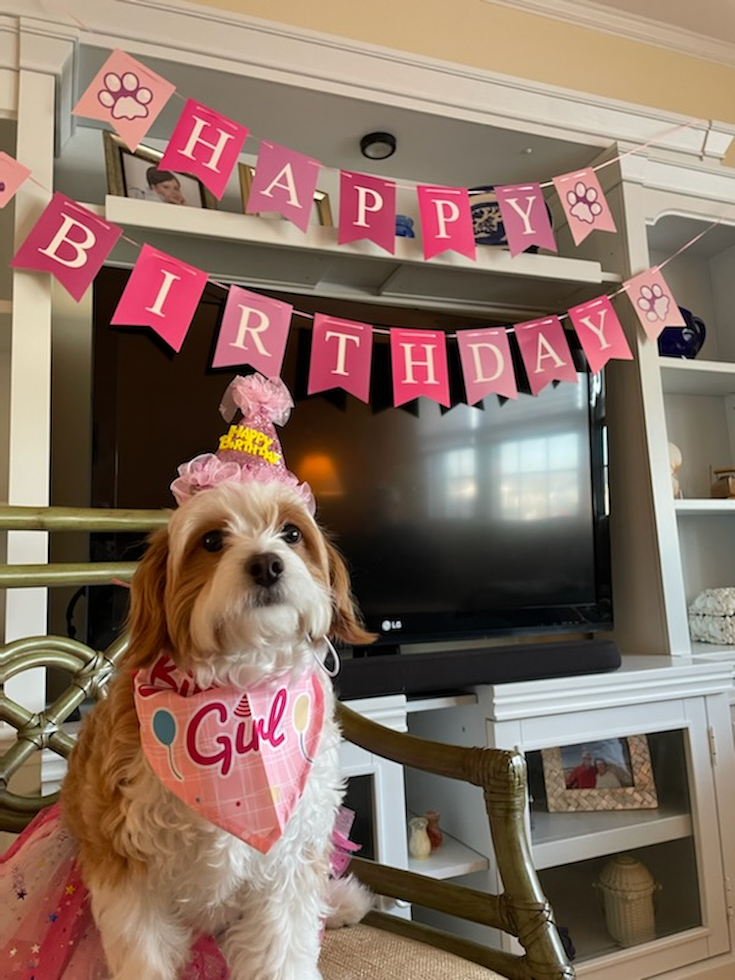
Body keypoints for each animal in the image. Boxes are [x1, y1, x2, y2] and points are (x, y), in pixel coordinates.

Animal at [60, 470, 374, 976]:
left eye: (291, 533)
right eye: (211, 541)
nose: (267, 564)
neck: (239, 689)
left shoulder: (288, 863)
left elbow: (283, 952)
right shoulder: (125, 867)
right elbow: (144, 955)